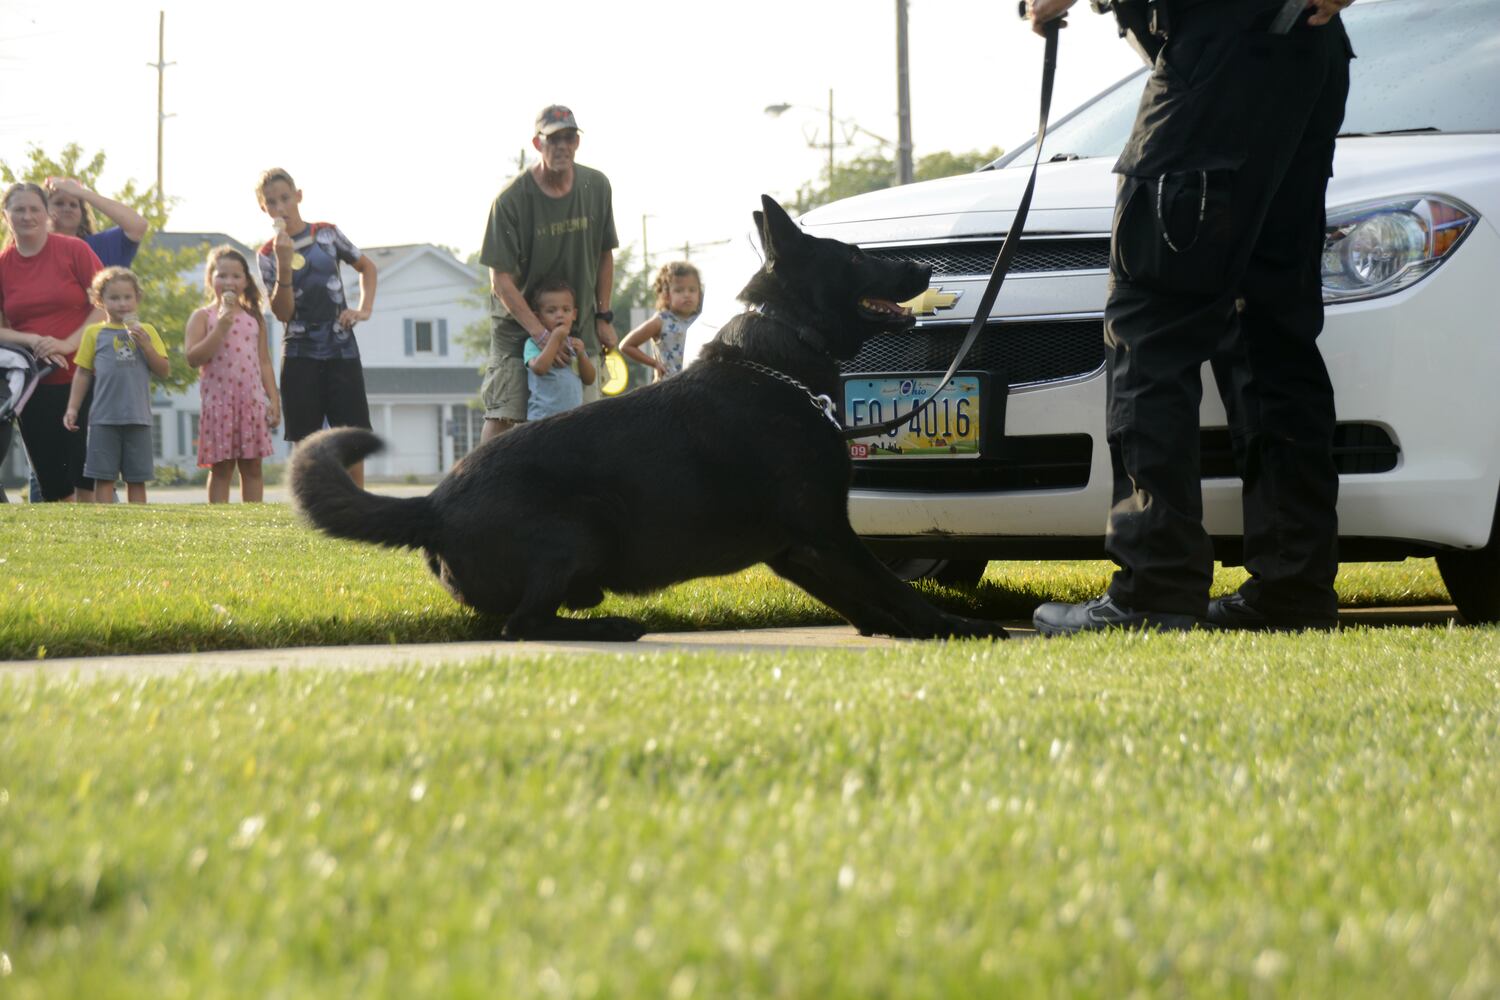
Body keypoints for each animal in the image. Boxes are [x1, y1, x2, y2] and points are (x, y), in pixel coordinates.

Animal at [289, 197, 1008, 641]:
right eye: (857, 256)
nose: (927, 264)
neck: (784, 353)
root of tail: (433, 502)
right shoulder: (827, 530)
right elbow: (895, 586)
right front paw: (962, 629)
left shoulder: (799, 547)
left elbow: (866, 595)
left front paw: (901, 628)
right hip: (576, 530)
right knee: (522, 624)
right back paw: (610, 626)